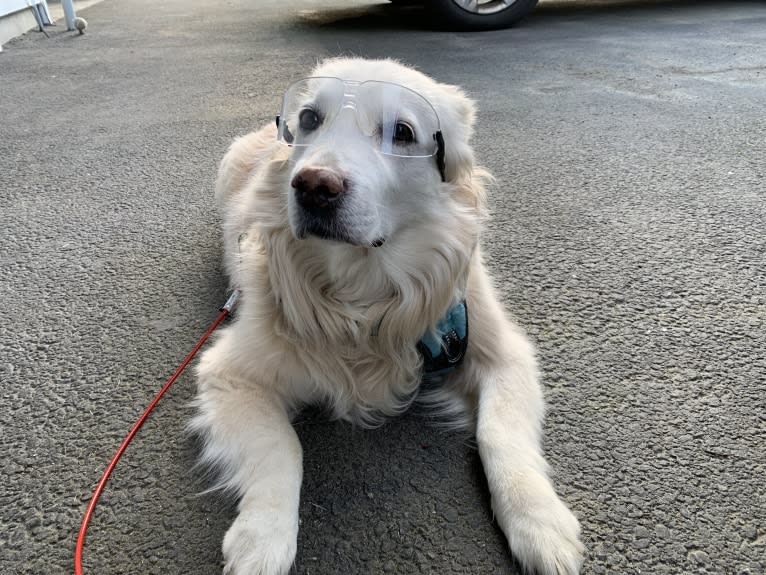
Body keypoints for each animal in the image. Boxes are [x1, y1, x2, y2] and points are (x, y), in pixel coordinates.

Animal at [194, 58, 588, 575]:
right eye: (309, 119)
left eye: (402, 132)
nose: (314, 186)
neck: (364, 293)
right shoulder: (228, 372)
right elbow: (281, 447)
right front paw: (262, 537)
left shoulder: (504, 352)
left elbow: (499, 432)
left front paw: (541, 523)